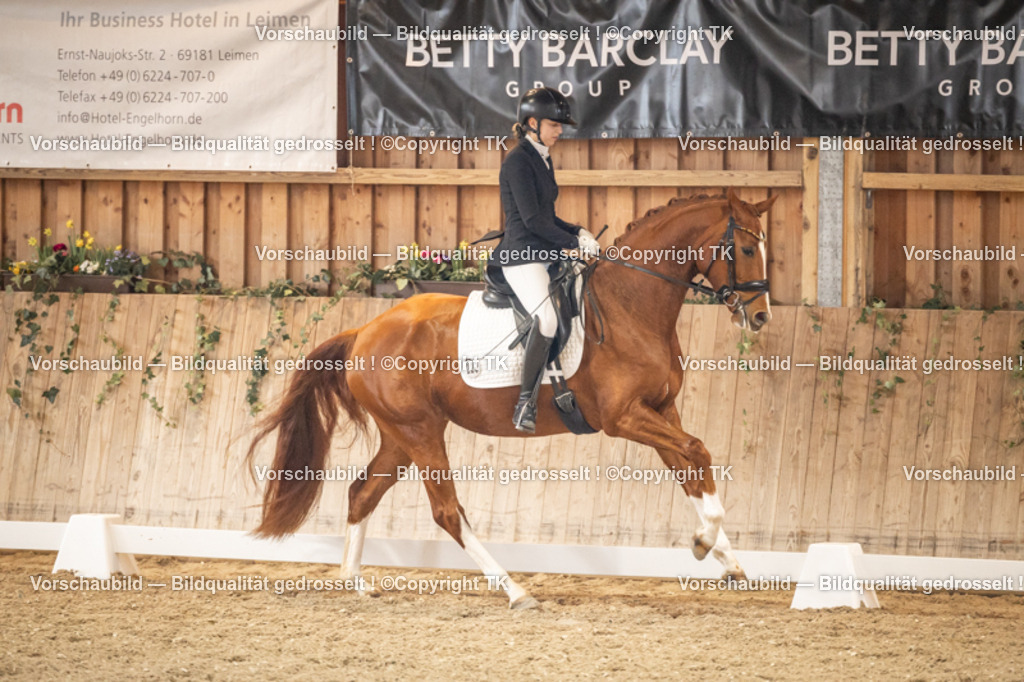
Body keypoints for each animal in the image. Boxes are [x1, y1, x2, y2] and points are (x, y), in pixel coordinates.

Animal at [247, 188, 777, 608]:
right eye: (747, 247)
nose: (760, 317)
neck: (632, 305)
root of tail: (364, 331)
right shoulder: (624, 417)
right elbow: (698, 453)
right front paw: (703, 541)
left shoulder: (662, 410)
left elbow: (691, 470)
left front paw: (725, 558)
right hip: (420, 433)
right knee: (447, 512)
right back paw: (515, 591)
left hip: (401, 436)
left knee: (362, 492)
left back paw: (355, 582)